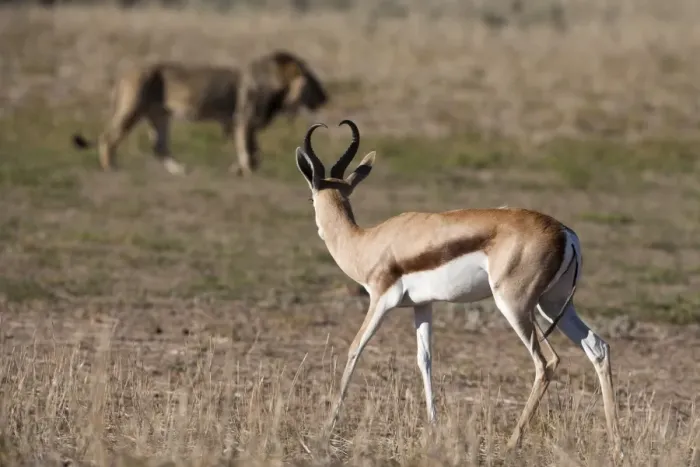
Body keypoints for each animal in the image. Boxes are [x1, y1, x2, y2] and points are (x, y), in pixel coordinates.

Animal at [71, 50, 329, 175]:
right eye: (312, 81)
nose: (326, 96)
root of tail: (125, 73)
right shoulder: (243, 121)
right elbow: (246, 150)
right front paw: (246, 171)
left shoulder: (248, 125)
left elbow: (255, 151)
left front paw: (239, 170)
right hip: (132, 110)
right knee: (108, 138)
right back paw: (110, 167)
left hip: (159, 116)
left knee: (159, 147)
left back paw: (180, 170)